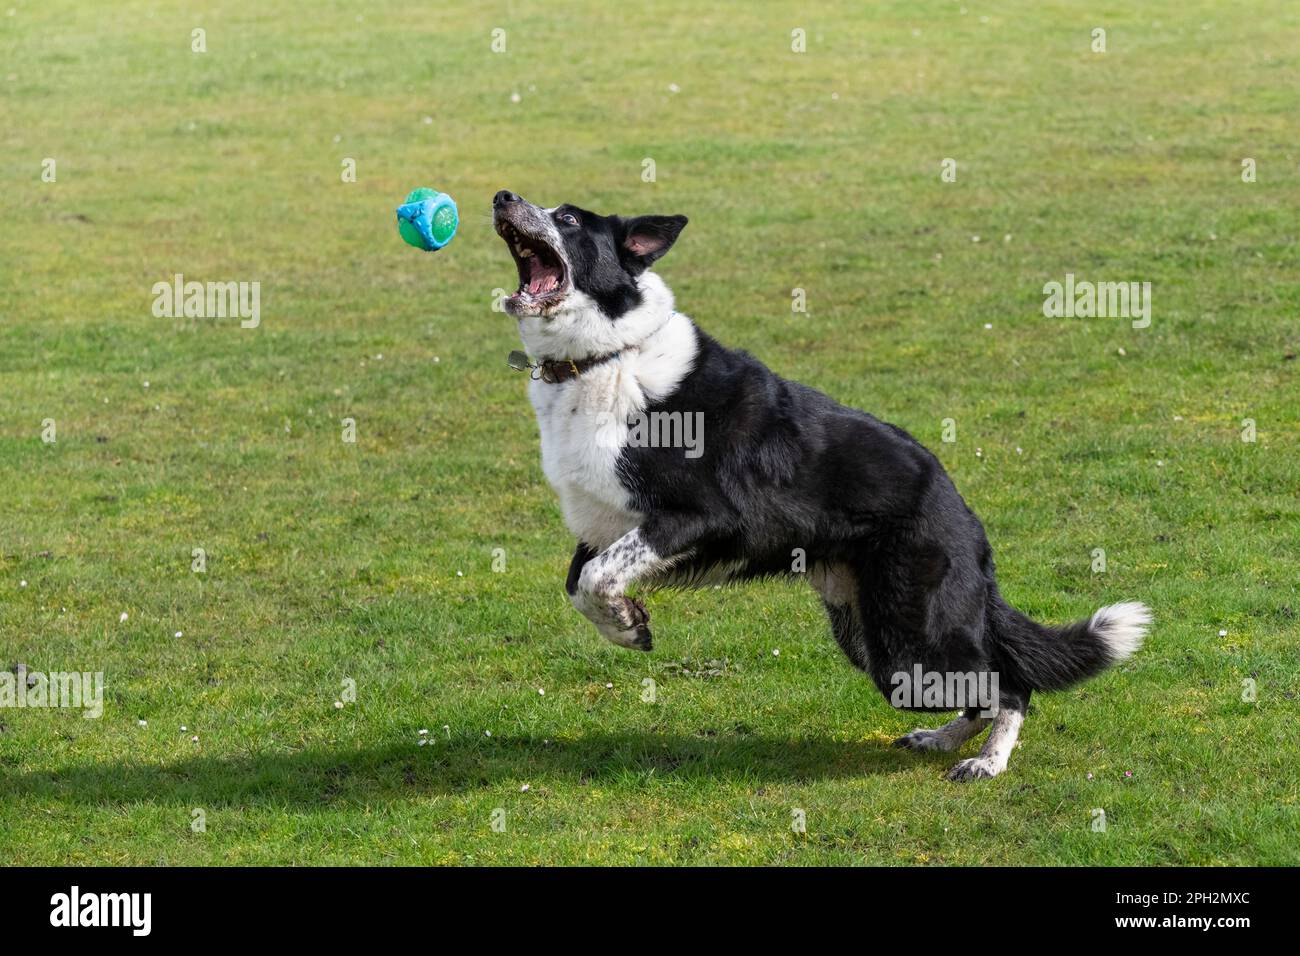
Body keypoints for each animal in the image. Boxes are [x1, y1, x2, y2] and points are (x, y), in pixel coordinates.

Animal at [488, 191, 1149, 780]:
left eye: (569, 219)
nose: (500, 196)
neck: (604, 357)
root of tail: (961, 511)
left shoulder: (699, 517)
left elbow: (597, 578)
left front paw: (628, 623)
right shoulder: (603, 528)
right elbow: (580, 585)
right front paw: (627, 624)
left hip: (911, 632)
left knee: (1007, 685)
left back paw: (987, 762)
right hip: (873, 640)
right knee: (975, 689)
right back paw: (942, 739)